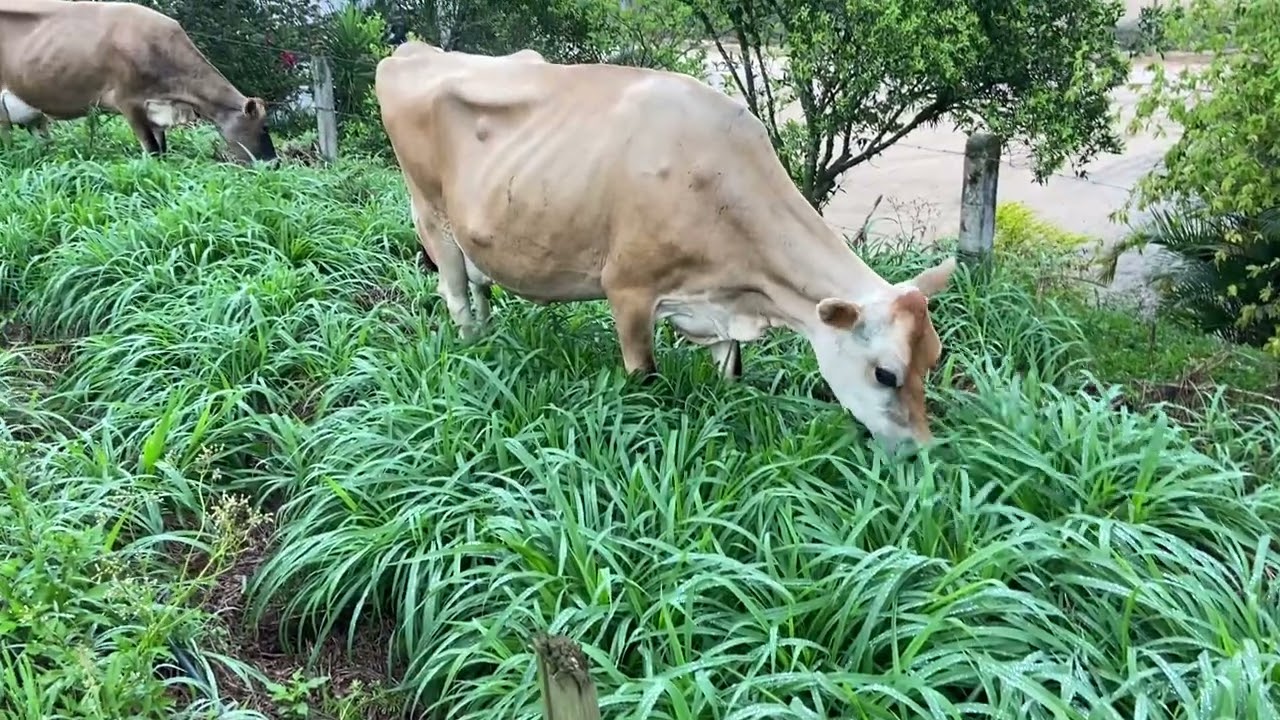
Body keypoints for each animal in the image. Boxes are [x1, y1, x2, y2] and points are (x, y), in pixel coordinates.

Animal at [0, 0, 276, 164]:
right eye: (264, 127)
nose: (274, 163)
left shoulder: (155, 108)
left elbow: (162, 149)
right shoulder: (129, 101)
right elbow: (152, 149)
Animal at [374, 42, 960, 451]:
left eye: (934, 360)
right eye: (885, 373)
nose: (923, 452)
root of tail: (414, 51)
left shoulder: (718, 304)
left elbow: (731, 372)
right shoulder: (628, 291)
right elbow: (644, 378)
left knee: (479, 288)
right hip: (431, 216)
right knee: (456, 297)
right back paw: (478, 349)